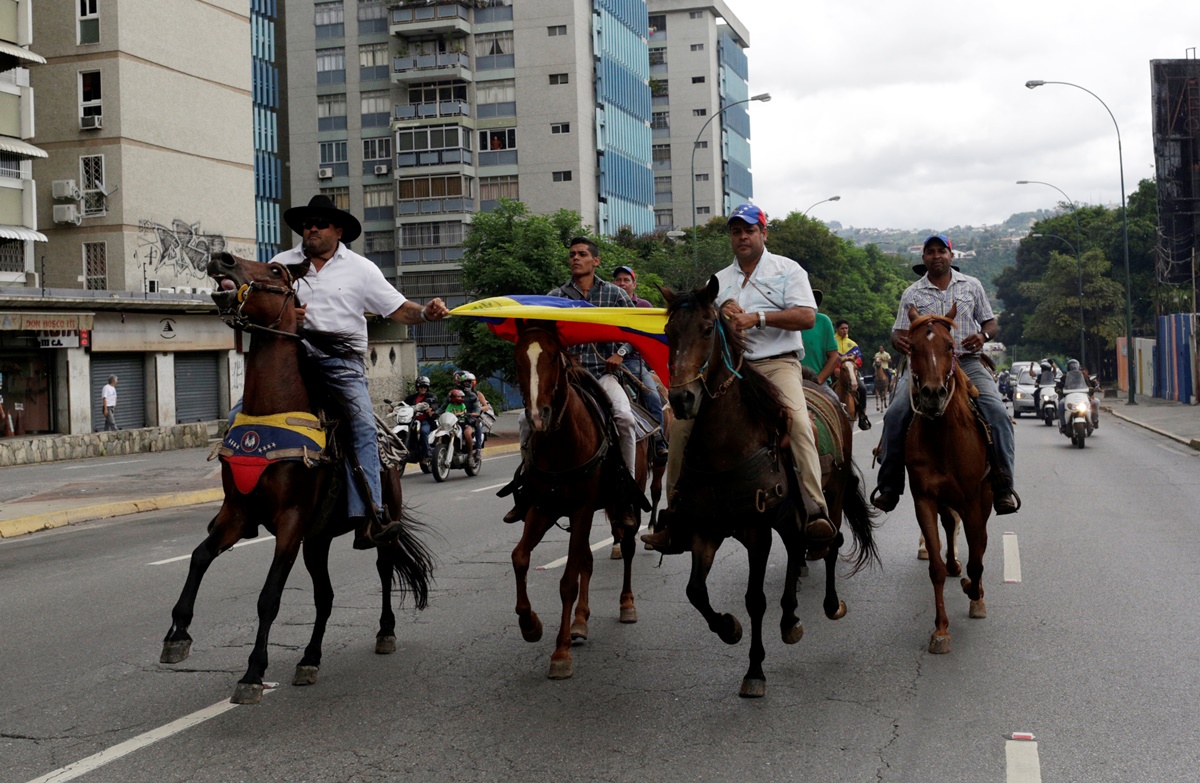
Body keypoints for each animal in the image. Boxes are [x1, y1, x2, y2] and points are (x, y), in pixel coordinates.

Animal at [159, 250, 436, 701]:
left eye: (274, 270)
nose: (221, 257)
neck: (272, 408)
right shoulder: (238, 514)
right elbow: (199, 557)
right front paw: (177, 634)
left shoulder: (289, 522)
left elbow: (269, 597)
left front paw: (253, 673)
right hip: (317, 540)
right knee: (325, 596)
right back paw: (309, 659)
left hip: (379, 523)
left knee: (383, 567)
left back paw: (385, 632)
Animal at [511, 321, 652, 682]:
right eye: (518, 358)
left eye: (554, 358)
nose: (538, 417)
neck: (559, 443)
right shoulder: (543, 508)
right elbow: (520, 558)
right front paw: (529, 625)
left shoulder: (582, 508)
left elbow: (567, 581)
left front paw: (560, 653)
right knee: (586, 559)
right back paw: (580, 622)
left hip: (628, 498)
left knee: (627, 544)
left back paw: (627, 604)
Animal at [662, 279, 878, 696]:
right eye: (668, 333)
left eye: (708, 329)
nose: (682, 399)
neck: (725, 447)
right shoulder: (705, 529)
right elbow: (695, 591)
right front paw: (728, 628)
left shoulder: (756, 530)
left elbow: (755, 599)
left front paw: (754, 670)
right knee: (796, 549)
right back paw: (790, 617)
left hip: (832, 497)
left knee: (830, 542)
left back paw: (830, 604)